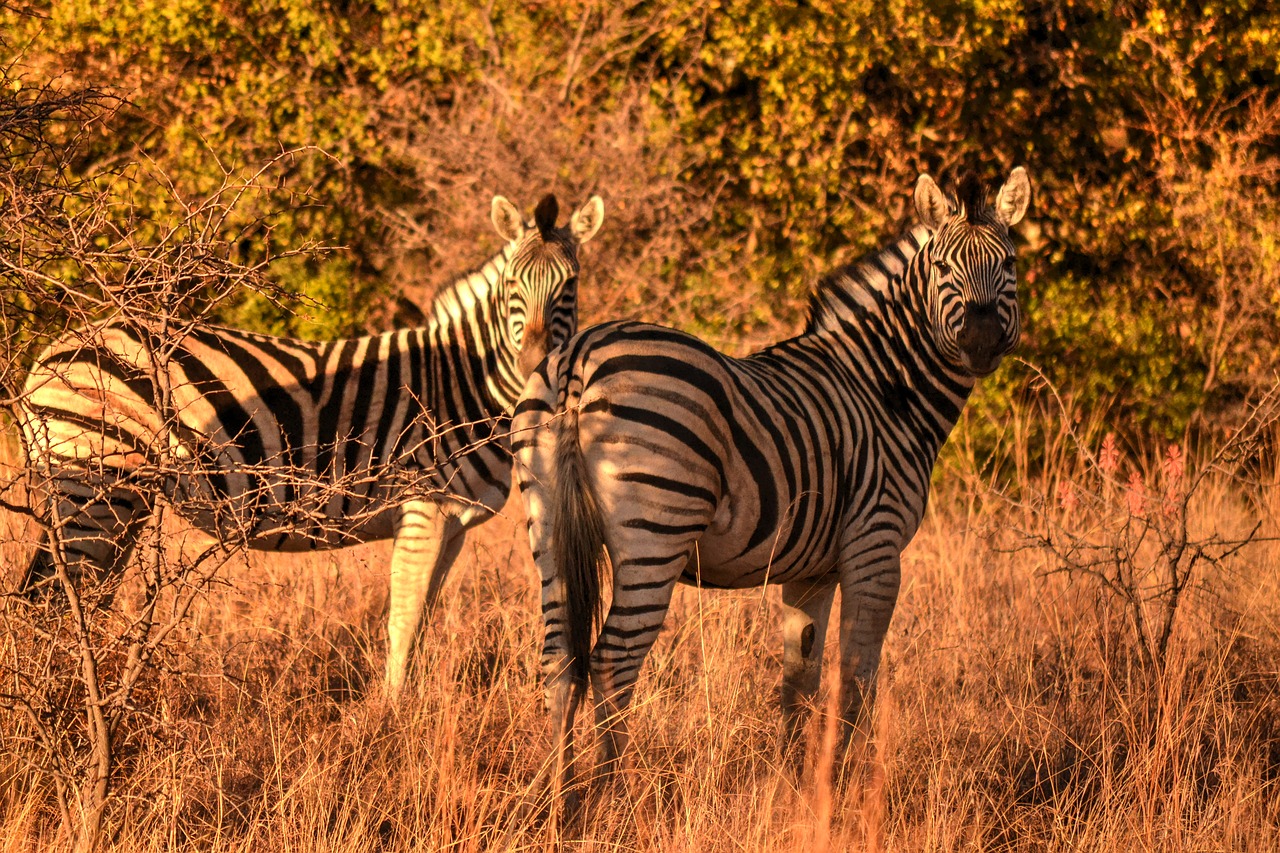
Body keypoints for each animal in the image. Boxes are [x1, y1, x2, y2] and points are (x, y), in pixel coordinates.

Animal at [15, 190, 604, 691]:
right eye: (511, 287)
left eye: (569, 286)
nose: (533, 368)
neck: (464, 378)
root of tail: (57, 348)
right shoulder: (424, 508)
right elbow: (403, 625)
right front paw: (390, 722)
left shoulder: (454, 525)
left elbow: (420, 625)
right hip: (92, 482)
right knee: (51, 600)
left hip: (120, 498)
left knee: (70, 597)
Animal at [509, 166, 1029, 788]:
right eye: (944, 269)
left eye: (1009, 264)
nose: (980, 341)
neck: (885, 391)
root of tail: (577, 358)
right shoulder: (875, 549)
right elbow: (856, 677)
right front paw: (843, 787)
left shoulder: (811, 571)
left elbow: (798, 680)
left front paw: (792, 786)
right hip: (654, 530)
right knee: (613, 660)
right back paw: (606, 795)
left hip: (547, 525)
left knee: (560, 658)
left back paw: (556, 791)